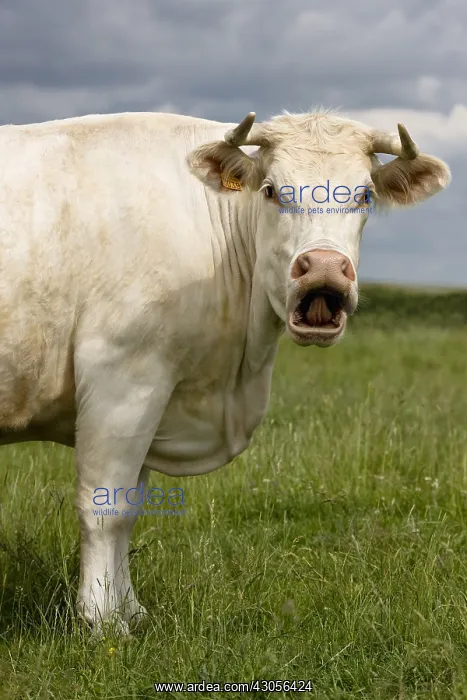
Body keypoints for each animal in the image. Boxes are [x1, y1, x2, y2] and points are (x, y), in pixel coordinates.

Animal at [0, 109, 450, 634]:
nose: (323, 268)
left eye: (364, 194)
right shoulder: (122, 376)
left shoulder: (156, 396)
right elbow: (105, 506)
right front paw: (102, 620)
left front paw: (131, 609)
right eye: (272, 190)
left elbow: (131, 507)